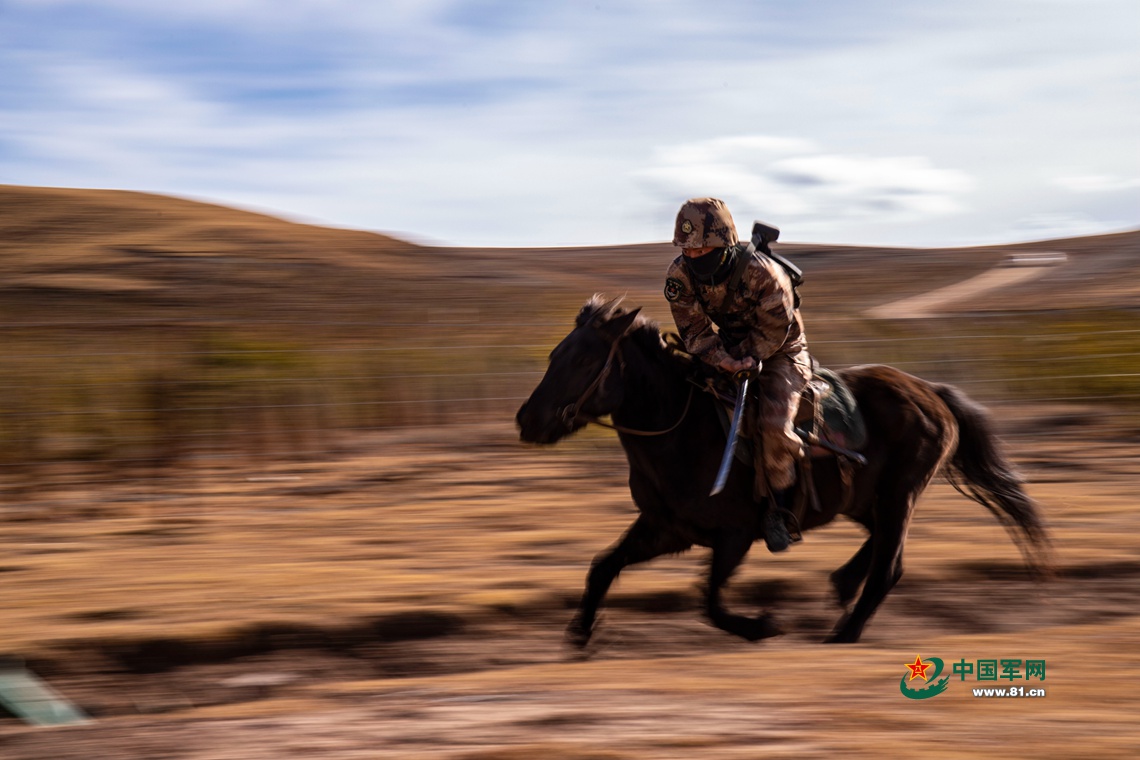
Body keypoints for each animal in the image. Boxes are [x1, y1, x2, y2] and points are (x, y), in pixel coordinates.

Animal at [517, 296, 1048, 647]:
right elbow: (603, 567)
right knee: (877, 544)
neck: (682, 428)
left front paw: (762, 625)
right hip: (865, 499)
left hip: (901, 493)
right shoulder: (664, 528)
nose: (527, 420)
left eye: (584, 358)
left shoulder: (733, 535)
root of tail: (932, 393)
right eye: (555, 355)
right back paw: (842, 584)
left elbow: (709, 601)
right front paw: (581, 631)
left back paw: (844, 631)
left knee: (889, 566)